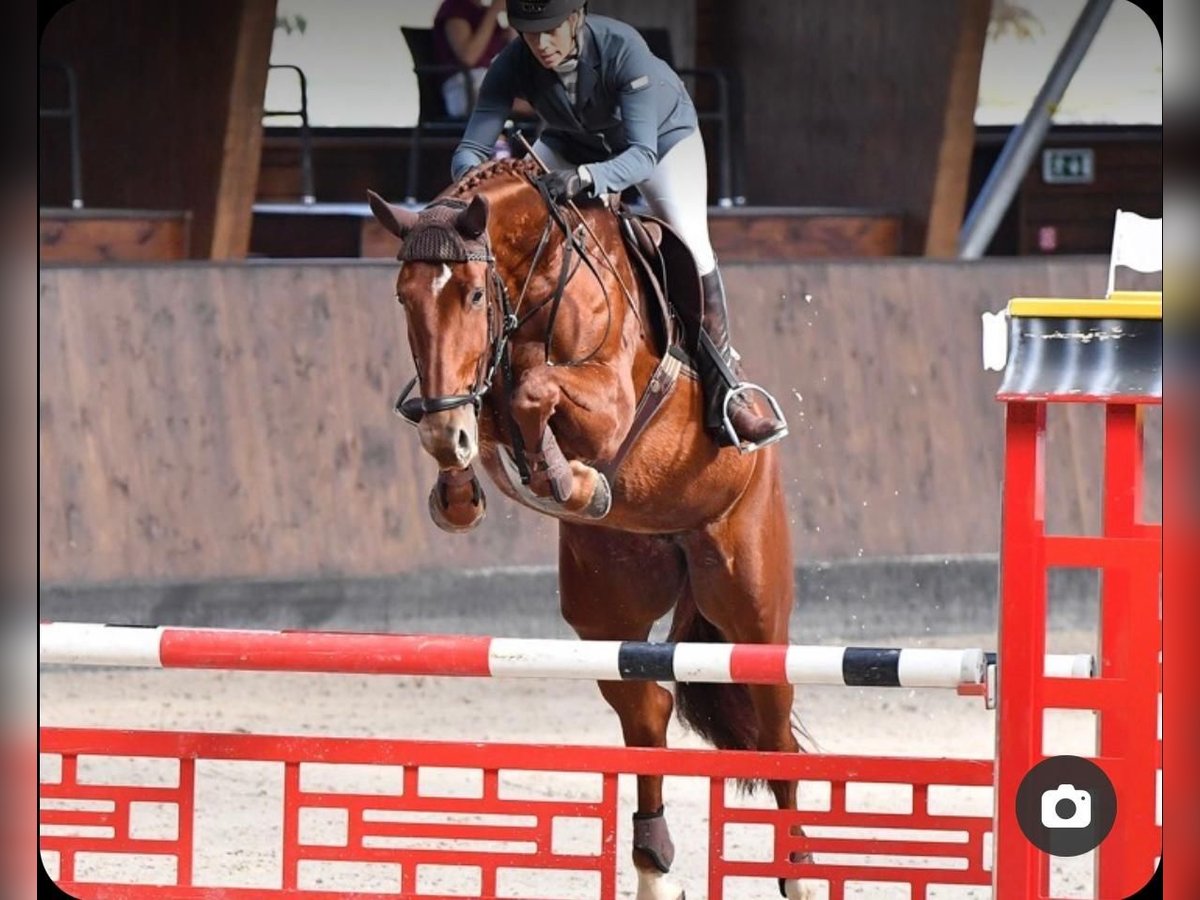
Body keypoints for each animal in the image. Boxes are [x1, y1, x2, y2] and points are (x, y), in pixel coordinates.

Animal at [369, 158, 811, 900]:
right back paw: (653, 862)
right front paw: (458, 484)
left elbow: (533, 391)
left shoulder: (607, 402)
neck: (538, 279)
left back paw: (797, 873)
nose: (441, 431)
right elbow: (495, 407)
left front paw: (568, 477)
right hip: (608, 607)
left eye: (472, 295)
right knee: (647, 710)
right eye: (404, 299)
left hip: (749, 607)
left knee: (775, 732)